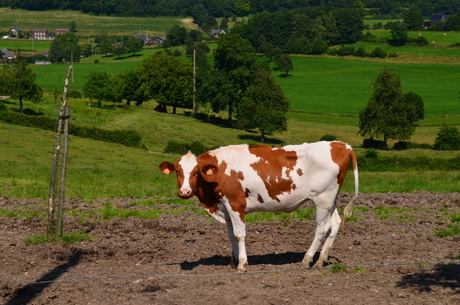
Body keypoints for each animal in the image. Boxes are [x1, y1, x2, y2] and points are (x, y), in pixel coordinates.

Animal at [159, 141, 360, 270]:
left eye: (196, 172)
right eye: (178, 171)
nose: (184, 192)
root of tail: (340, 144)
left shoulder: (235, 204)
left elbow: (239, 235)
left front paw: (242, 264)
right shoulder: (225, 207)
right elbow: (231, 236)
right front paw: (233, 261)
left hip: (322, 198)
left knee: (322, 228)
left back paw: (307, 260)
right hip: (331, 199)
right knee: (335, 224)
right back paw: (320, 261)